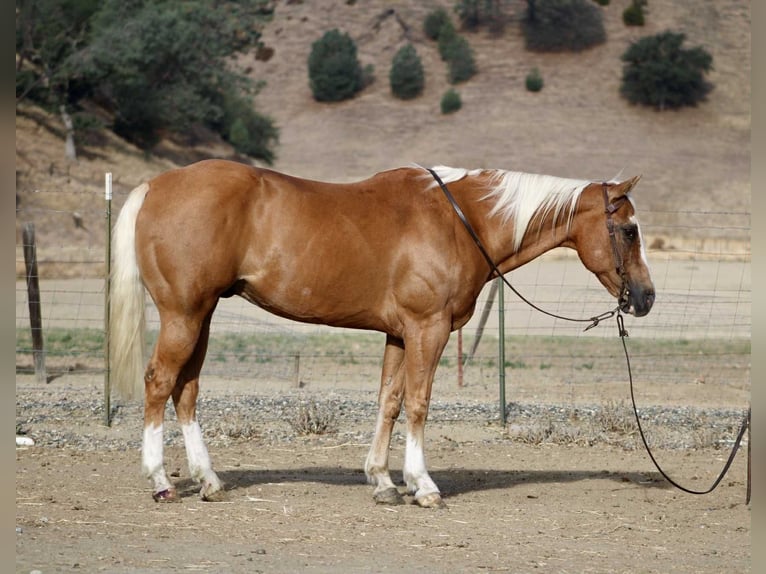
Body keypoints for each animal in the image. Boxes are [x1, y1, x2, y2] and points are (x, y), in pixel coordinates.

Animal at [109, 159, 654, 508]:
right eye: (629, 230)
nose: (646, 298)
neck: (459, 221)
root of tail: (155, 186)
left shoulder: (399, 334)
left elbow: (389, 401)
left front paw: (383, 481)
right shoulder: (427, 329)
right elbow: (417, 403)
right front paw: (423, 484)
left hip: (200, 316)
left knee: (186, 391)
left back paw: (208, 480)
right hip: (184, 314)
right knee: (160, 382)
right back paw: (159, 480)